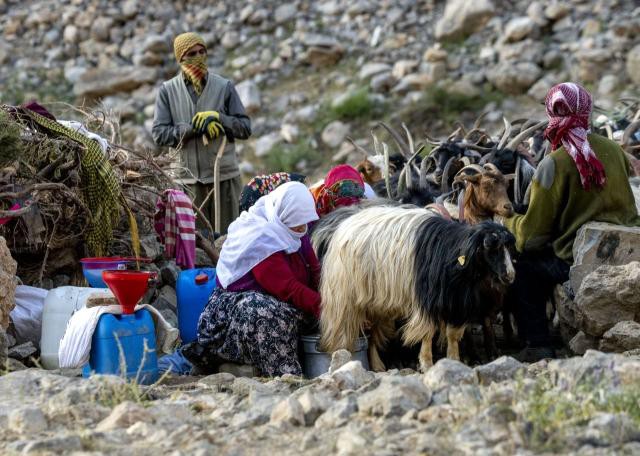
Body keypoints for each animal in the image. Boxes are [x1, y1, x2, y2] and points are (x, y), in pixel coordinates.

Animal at [318, 206, 516, 370]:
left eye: (508, 247)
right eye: (489, 247)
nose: (510, 275)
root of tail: (344, 224)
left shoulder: (455, 303)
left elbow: (452, 336)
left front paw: (454, 361)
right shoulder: (426, 302)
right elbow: (427, 334)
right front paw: (427, 364)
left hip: (377, 302)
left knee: (373, 334)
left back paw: (377, 366)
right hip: (344, 299)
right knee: (345, 332)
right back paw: (346, 360)